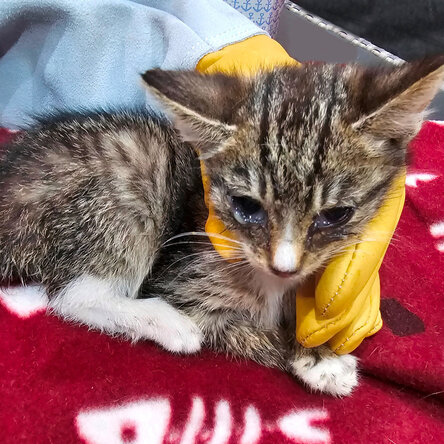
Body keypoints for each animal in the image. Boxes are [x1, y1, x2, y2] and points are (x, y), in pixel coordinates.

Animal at [0, 58, 442, 396]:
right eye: (246, 206)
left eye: (336, 215)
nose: (284, 267)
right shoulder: (183, 279)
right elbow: (233, 327)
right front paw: (321, 360)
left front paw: (316, 348)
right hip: (132, 174)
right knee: (76, 296)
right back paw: (166, 322)